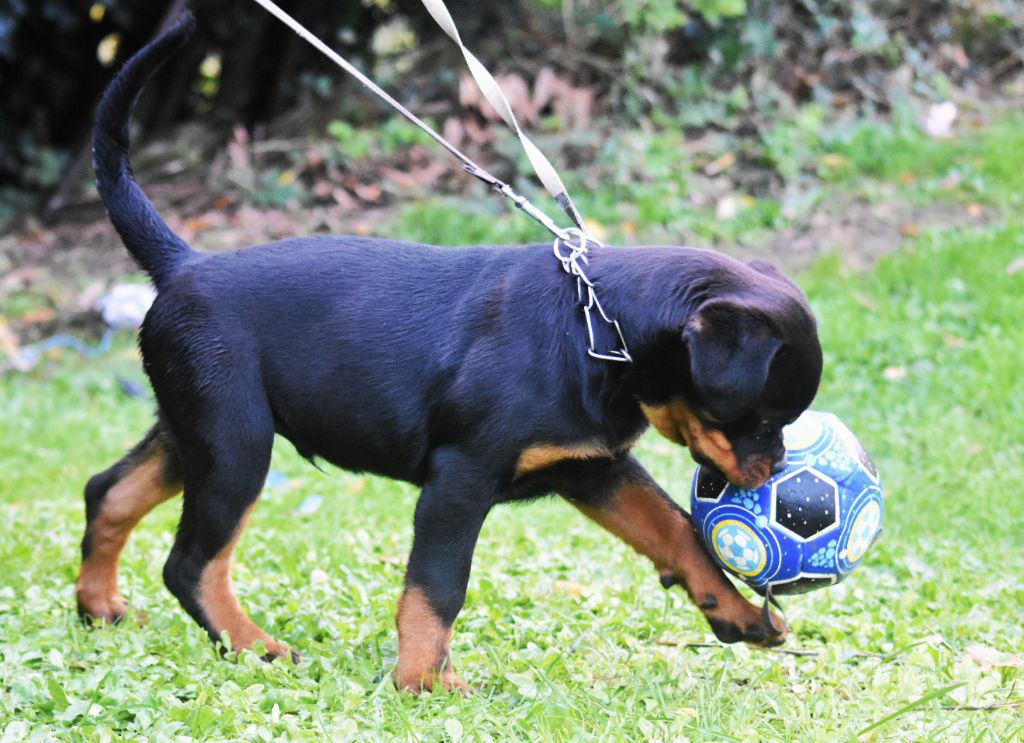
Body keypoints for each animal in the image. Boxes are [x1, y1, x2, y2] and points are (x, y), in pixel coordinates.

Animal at [74, 14, 823, 695]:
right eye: (759, 419)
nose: (775, 469)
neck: (595, 328)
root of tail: (183, 264)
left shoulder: (596, 467)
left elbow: (676, 529)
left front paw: (738, 615)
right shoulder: (460, 479)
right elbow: (436, 587)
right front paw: (424, 682)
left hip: (195, 425)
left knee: (108, 491)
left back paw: (98, 606)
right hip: (236, 440)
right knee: (192, 561)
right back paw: (256, 645)